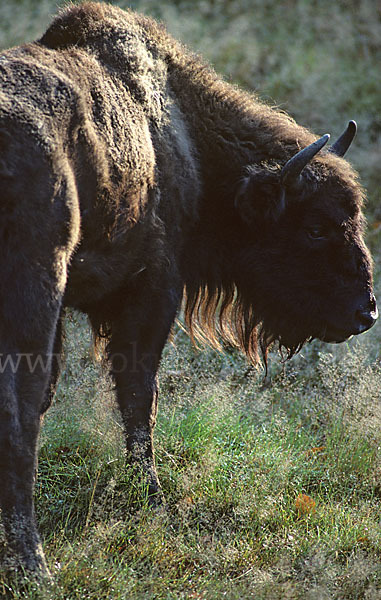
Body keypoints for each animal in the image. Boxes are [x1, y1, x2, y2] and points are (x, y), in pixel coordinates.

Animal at [0, 2, 376, 580]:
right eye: (315, 227)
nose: (366, 312)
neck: (182, 134)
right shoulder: (151, 292)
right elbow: (137, 396)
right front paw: (151, 498)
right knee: (17, 417)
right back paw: (35, 567)